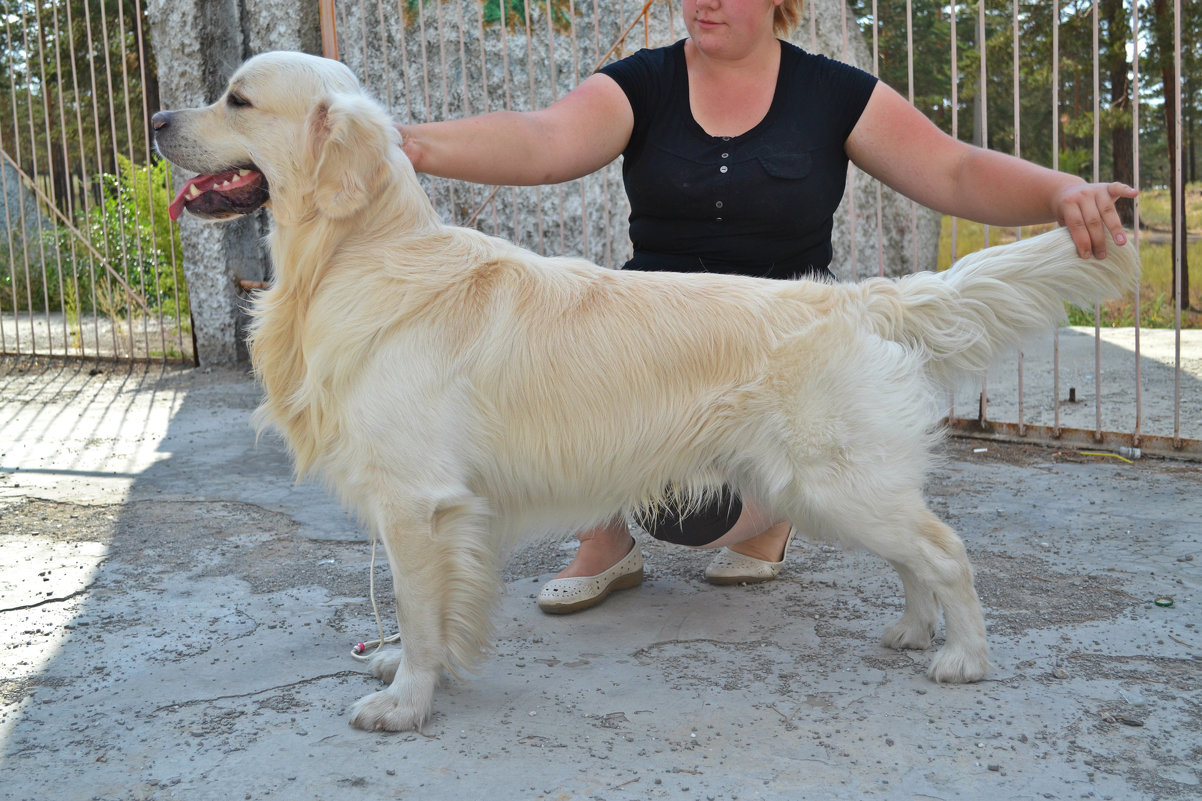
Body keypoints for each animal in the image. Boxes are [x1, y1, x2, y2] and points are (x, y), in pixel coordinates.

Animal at [155, 51, 1139, 731]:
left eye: (237, 98)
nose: (159, 116)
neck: (355, 253)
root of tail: (857, 293)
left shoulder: (417, 498)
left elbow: (419, 605)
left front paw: (405, 700)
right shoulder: (430, 508)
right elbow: (426, 606)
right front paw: (401, 666)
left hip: (835, 480)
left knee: (946, 550)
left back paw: (963, 656)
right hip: (829, 484)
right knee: (915, 557)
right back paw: (909, 629)